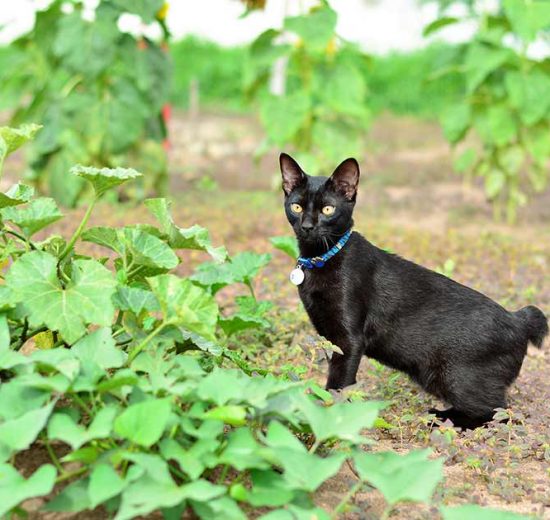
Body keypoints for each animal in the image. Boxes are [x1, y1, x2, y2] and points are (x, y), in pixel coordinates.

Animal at [282, 152, 548, 428]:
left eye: (328, 209)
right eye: (296, 207)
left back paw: (440, 417)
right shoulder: (330, 336)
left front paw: (327, 417)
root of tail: (518, 319)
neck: (320, 259)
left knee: (498, 412)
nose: (308, 226)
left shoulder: (349, 340)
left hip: (453, 376)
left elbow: (338, 384)